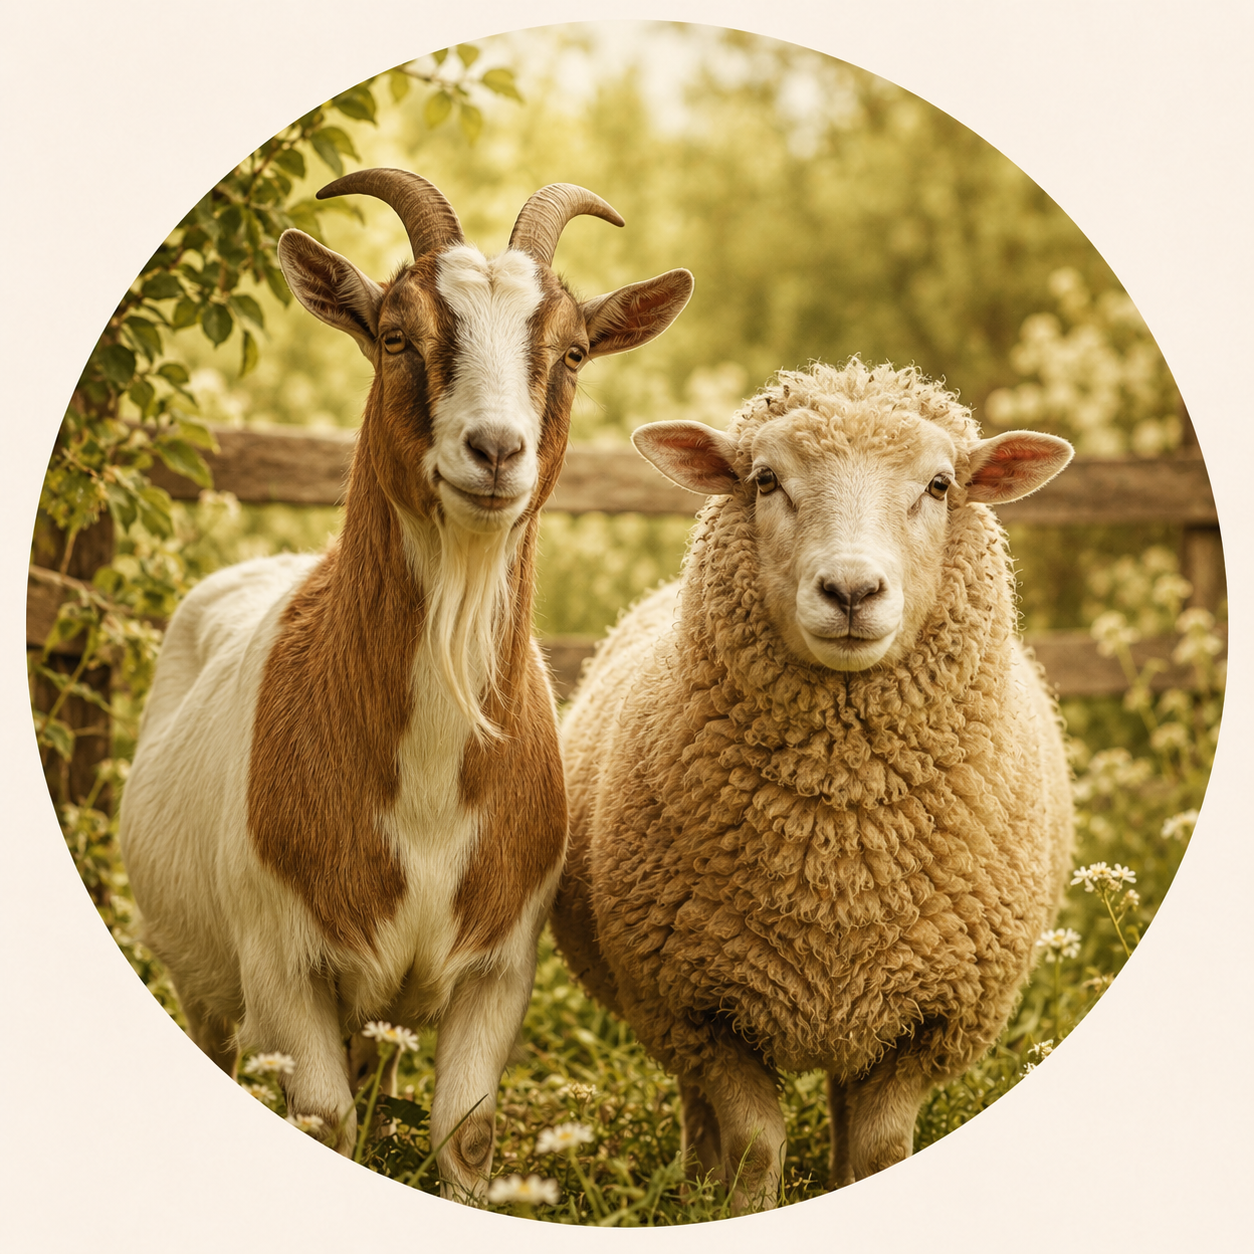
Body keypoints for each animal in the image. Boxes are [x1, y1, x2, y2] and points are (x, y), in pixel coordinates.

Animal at [118, 168, 693, 1200]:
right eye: (395, 335)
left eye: (573, 351)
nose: (496, 451)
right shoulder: (283, 964)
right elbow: (324, 1120)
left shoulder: (499, 967)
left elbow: (465, 1136)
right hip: (206, 982)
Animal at [551, 358, 1075, 1210]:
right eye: (766, 480)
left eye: (939, 485)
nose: (852, 592)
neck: (838, 857)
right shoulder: (702, 1007)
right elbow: (754, 1145)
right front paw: (739, 1206)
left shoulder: (928, 1020)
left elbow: (884, 1148)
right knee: (697, 1105)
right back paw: (692, 1190)